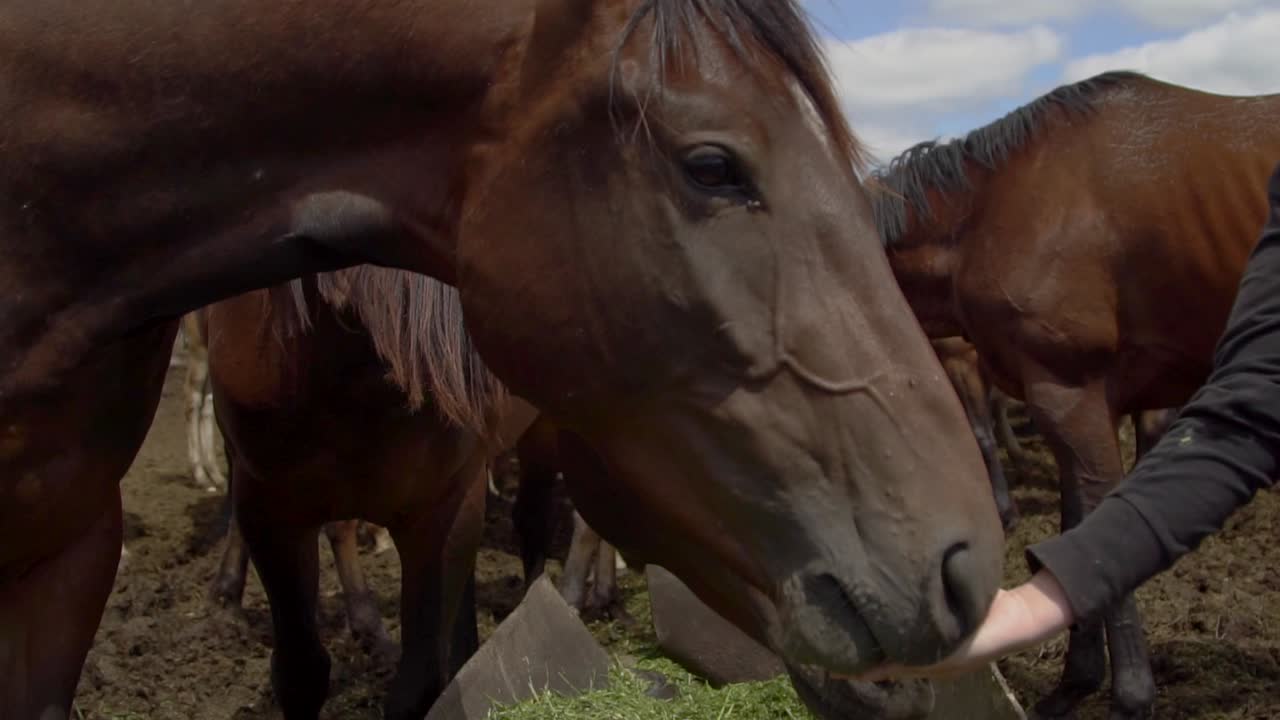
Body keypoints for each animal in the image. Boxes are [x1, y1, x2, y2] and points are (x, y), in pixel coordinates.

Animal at [0, 4, 1004, 717]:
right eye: (713, 167)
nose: (966, 571)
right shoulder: (269, 509)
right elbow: (303, 669)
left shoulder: (442, 509)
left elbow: (424, 671)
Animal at [873, 70, 1280, 719]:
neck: (991, 208)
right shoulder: (1065, 399)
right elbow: (1078, 528)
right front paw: (1075, 681)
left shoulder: (1071, 396)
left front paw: (1131, 695)